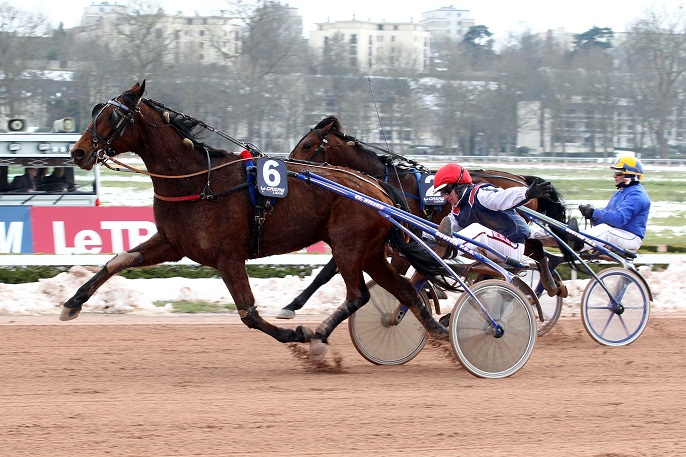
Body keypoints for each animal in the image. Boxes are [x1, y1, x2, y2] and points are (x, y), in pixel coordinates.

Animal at [63, 81, 456, 360]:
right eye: (97, 111)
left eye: (112, 117)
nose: (78, 152)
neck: (199, 180)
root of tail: (377, 187)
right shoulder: (173, 243)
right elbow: (118, 261)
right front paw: (73, 303)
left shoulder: (228, 256)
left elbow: (248, 313)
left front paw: (296, 335)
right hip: (371, 252)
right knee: (404, 290)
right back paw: (440, 334)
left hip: (349, 246)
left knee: (359, 295)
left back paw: (319, 337)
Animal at [276, 115, 572, 318]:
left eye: (307, 145)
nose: (288, 164)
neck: (387, 182)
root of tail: (520, 178)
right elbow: (331, 271)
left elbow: (334, 272)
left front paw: (292, 305)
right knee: (531, 252)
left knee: (528, 252)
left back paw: (546, 285)